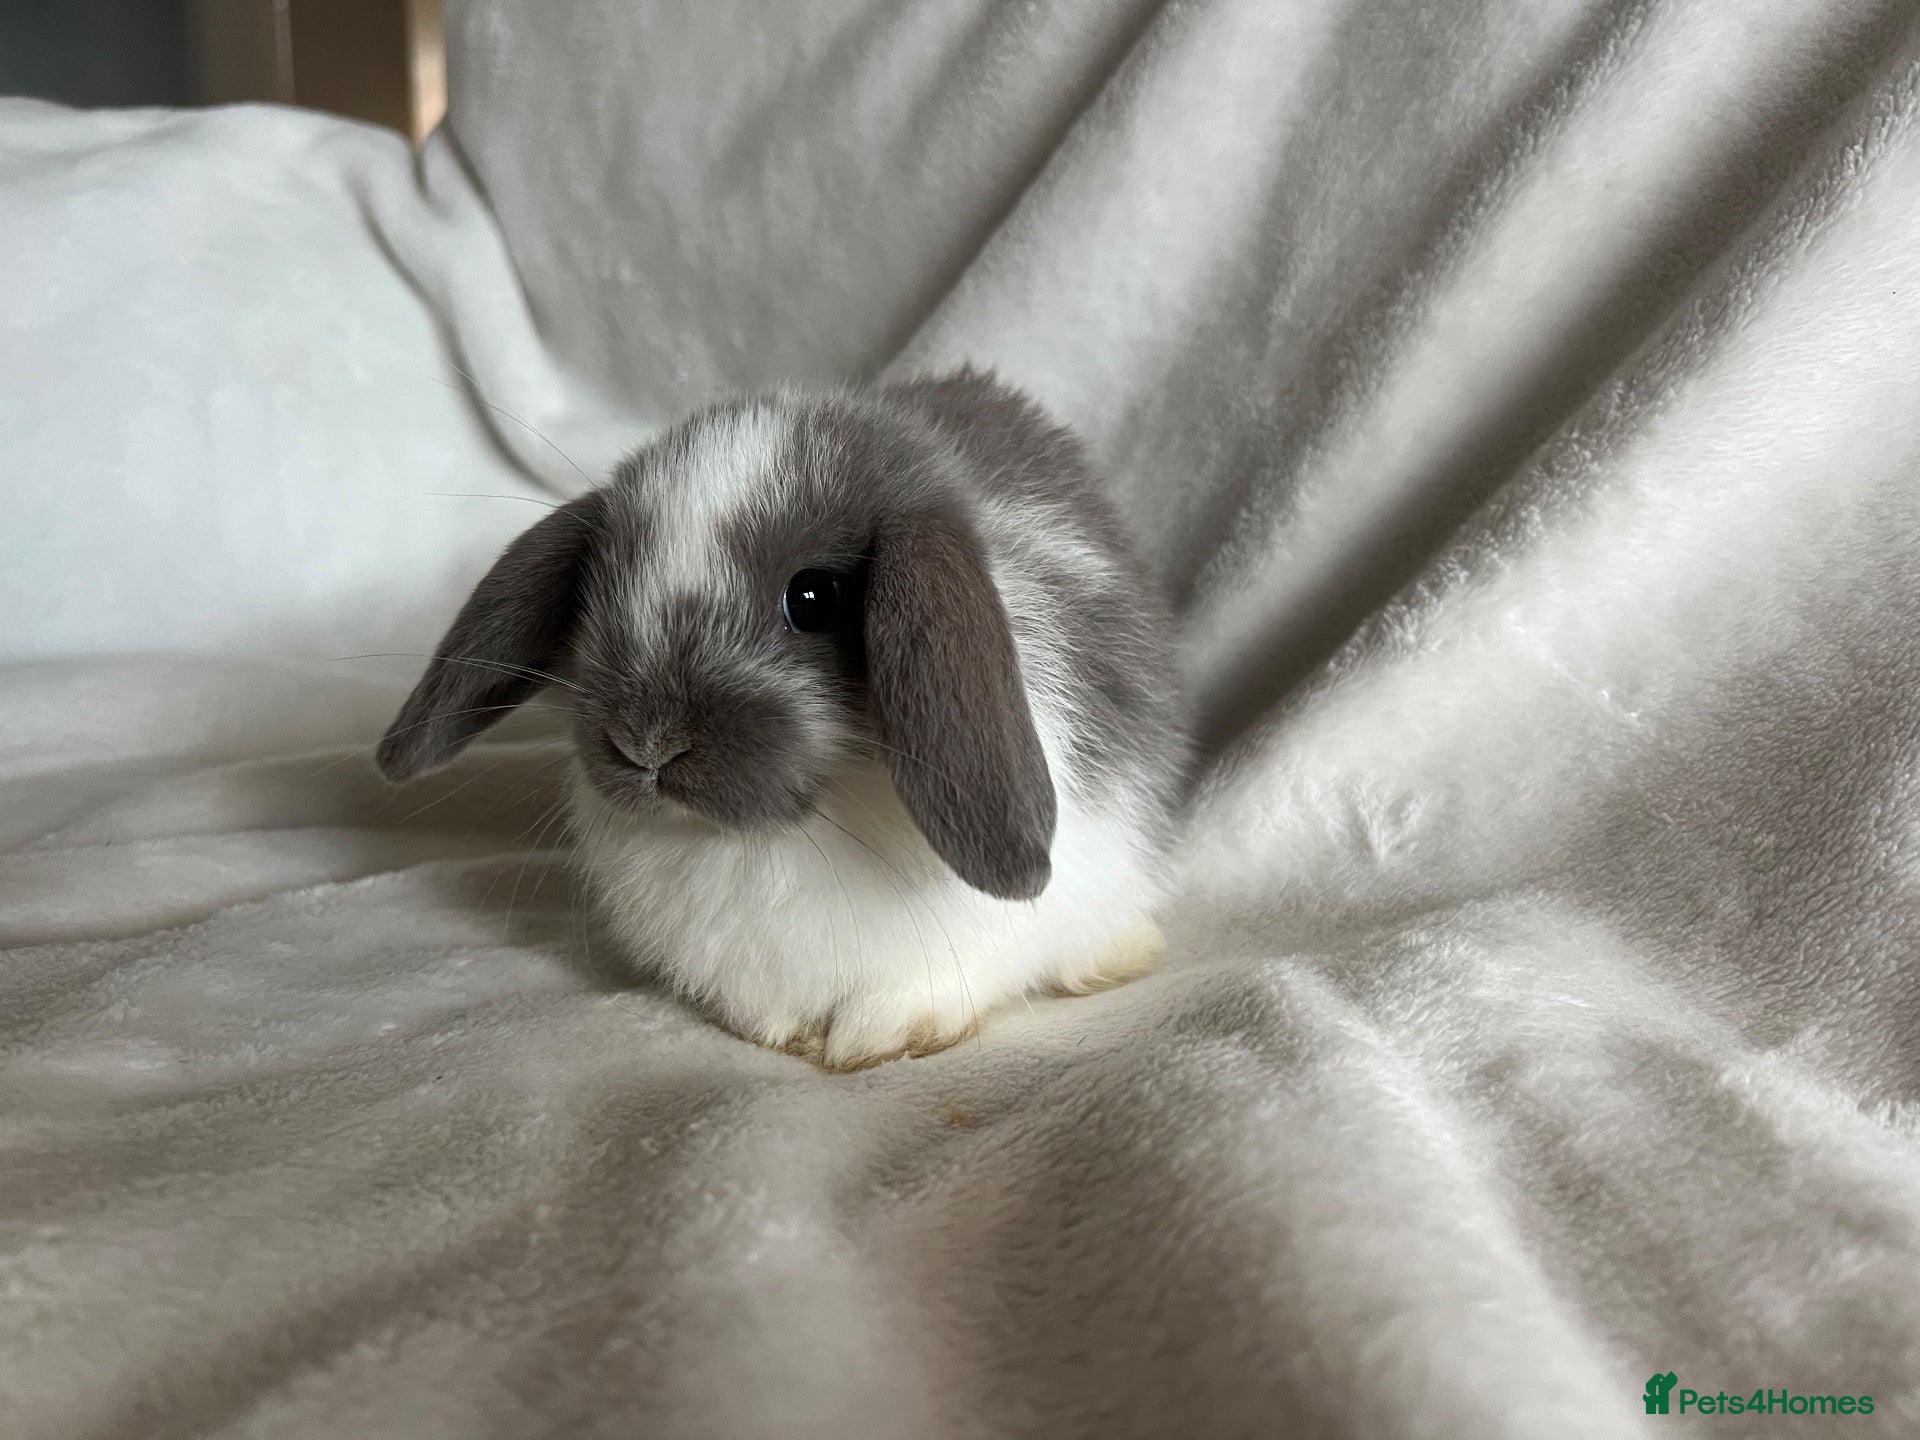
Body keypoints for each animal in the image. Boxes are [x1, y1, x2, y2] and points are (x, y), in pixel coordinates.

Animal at [376, 367, 1188, 1070]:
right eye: (595, 590)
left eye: (813, 598)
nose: (645, 745)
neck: (787, 835)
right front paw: (774, 1030)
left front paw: (882, 1036)